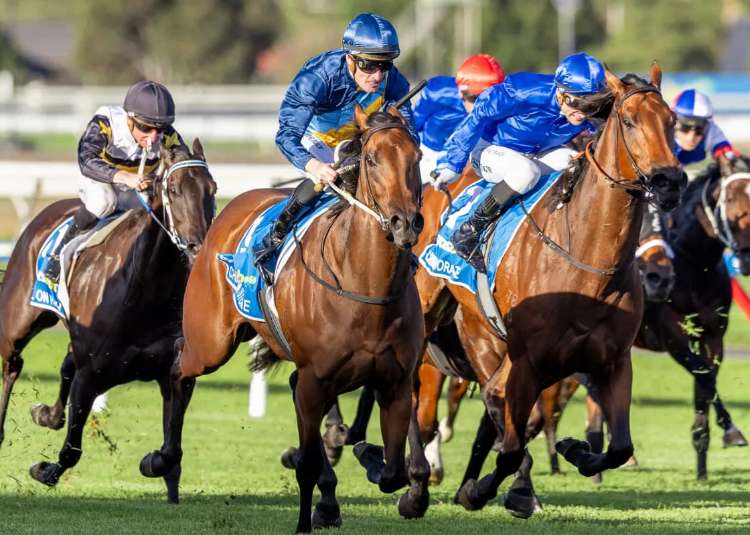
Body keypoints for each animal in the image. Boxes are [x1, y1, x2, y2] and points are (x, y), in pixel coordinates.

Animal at [0, 140, 216, 503]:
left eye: (212, 189)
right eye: (173, 189)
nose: (197, 248)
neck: (145, 290)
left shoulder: (176, 373)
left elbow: (171, 452)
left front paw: (155, 465)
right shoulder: (91, 373)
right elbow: (71, 450)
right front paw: (44, 470)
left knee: (64, 366)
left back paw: (47, 414)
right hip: (18, 320)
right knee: (12, 363)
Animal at [145, 106, 429, 534]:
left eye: (417, 158)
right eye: (372, 159)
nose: (404, 223)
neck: (365, 286)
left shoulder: (396, 381)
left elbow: (394, 471)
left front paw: (373, 462)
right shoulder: (316, 379)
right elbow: (310, 464)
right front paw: (308, 510)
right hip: (211, 341)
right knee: (179, 367)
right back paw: (162, 459)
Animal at [401, 65, 686, 515]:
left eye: (671, 121)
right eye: (629, 121)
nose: (668, 181)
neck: (584, 257)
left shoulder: (613, 360)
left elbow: (619, 446)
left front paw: (573, 451)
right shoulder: (530, 359)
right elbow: (513, 443)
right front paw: (486, 491)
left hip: (485, 335)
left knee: (492, 399)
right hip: (429, 316)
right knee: (416, 397)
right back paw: (415, 485)